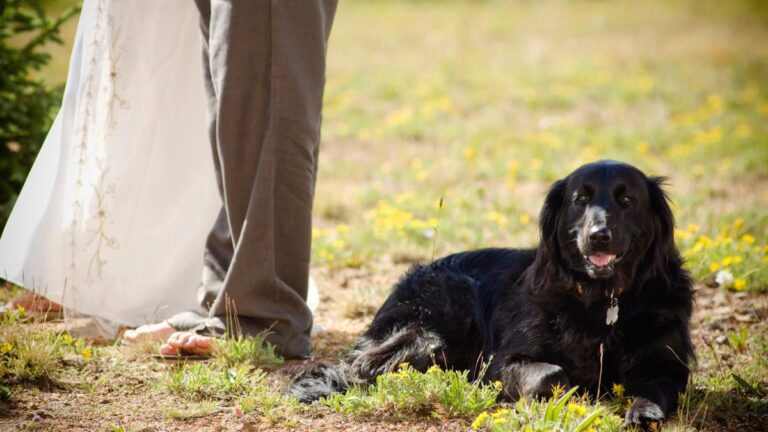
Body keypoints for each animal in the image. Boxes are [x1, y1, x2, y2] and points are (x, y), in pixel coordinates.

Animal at [290, 160, 696, 426]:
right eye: (580, 199)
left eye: (628, 200)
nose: (599, 235)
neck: (602, 300)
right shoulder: (503, 361)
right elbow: (551, 374)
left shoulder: (668, 364)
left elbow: (659, 386)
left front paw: (643, 410)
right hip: (435, 327)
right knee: (363, 366)